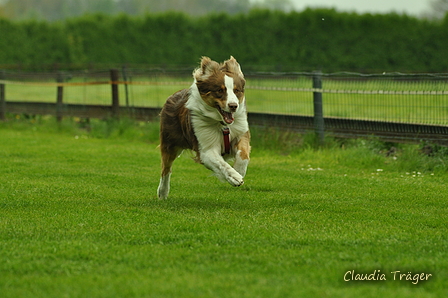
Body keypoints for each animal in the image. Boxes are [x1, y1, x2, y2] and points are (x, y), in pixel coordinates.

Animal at [158, 56, 250, 200]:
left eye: (236, 90)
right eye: (220, 90)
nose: (233, 106)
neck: (222, 124)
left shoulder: (240, 133)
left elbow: (243, 155)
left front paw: (239, 170)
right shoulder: (206, 149)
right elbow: (221, 163)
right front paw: (235, 177)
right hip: (170, 143)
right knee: (165, 169)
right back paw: (162, 192)